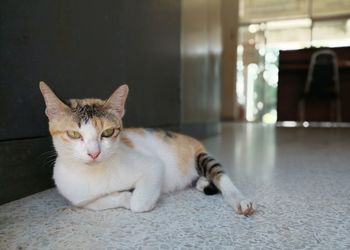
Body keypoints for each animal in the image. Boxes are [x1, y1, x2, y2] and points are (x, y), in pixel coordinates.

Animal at [39, 81, 258, 215]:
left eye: (108, 132)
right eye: (74, 134)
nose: (94, 153)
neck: (93, 175)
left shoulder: (153, 166)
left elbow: (139, 203)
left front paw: (133, 197)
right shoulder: (77, 197)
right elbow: (94, 203)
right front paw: (124, 195)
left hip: (202, 156)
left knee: (221, 176)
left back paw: (239, 200)